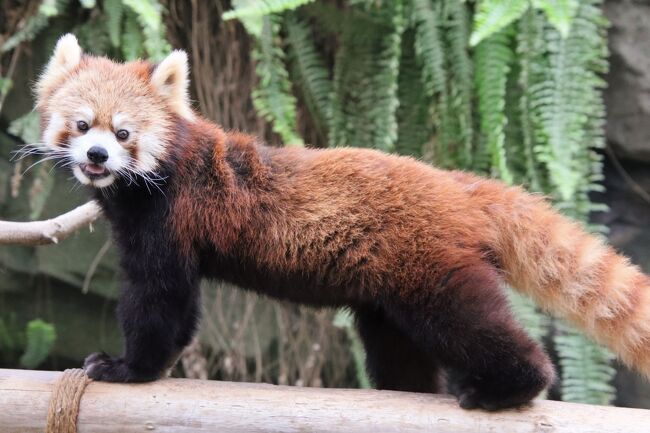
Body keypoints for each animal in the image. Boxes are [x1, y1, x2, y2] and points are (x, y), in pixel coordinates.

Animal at [33, 33, 648, 408]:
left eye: (123, 133)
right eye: (81, 125)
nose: (97, 157)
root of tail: (458, 184)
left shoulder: (171, 219)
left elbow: (162, 299)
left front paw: (127, 366)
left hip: (430, 267)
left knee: (472, 323)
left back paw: (508, 387)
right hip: (390, 293)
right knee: (398, 347)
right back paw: (408, 391)